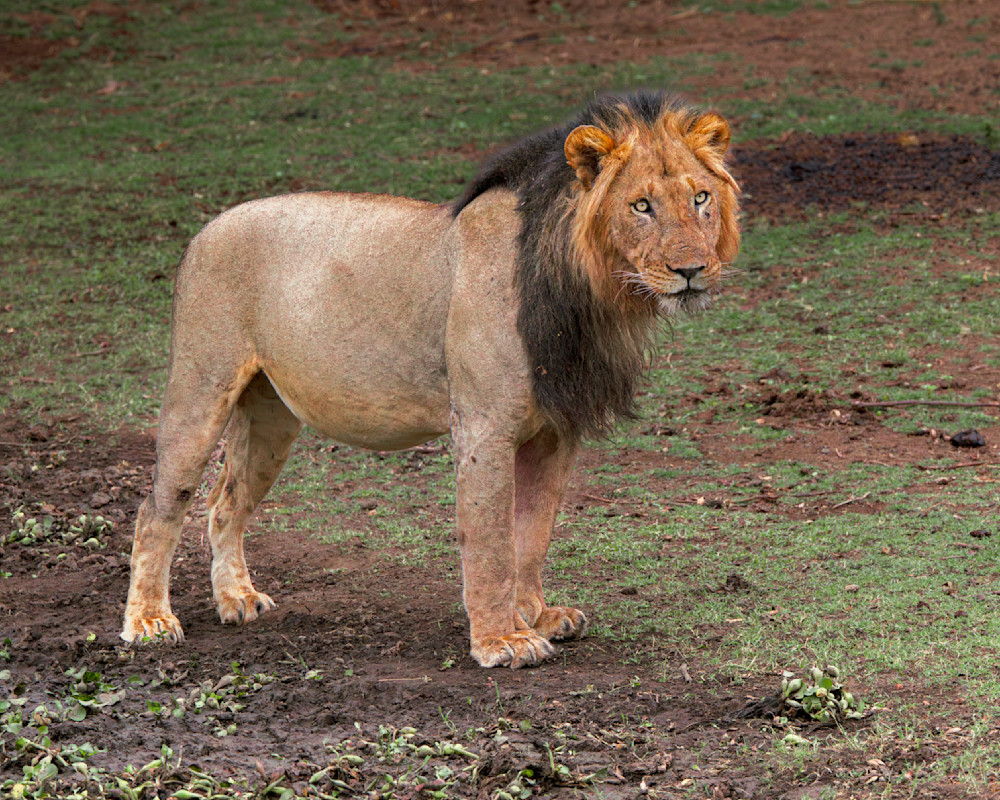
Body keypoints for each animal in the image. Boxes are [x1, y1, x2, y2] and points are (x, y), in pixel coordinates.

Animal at [121, 91, 740, 668]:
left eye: (700, 198)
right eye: (641, 205)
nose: (691, 270)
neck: (589, 293)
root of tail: (207, 227)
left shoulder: (556, 432)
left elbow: (532, 534)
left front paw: (535, 615)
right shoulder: (484, 427)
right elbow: (490, 542)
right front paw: (500, 640)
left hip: (271, 417)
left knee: (225, 505)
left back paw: (237, 598)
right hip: (200, 387)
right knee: (158, 508)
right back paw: (149, 621)